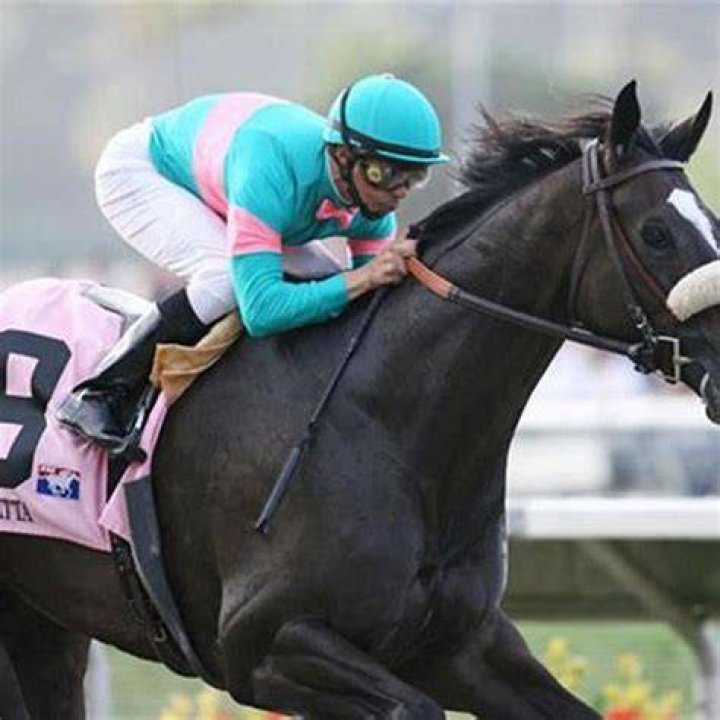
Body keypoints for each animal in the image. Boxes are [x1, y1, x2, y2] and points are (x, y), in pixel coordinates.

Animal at [1, 80, 718, 719]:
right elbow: (412, 708)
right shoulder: (263, 645)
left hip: (45, 625)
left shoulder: (463, 647)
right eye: (656, 233)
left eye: (711, 222)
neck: (389, 424)